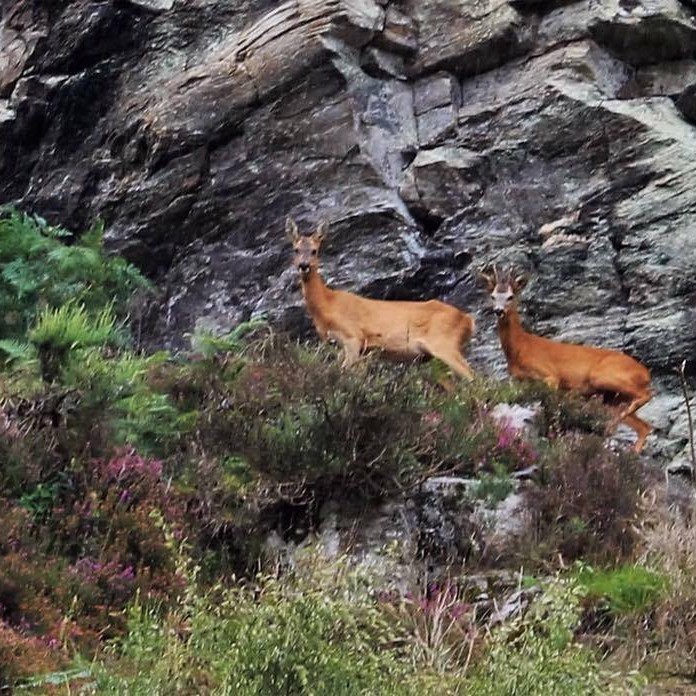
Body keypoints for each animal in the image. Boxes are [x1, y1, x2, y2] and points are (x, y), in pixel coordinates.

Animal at [286, 217, 475, 379]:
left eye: (314, 251)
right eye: (296, 250)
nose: (303, 265)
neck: (327, 304)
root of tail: (468, 320)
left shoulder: (353, 337)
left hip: (444, 342)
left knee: (473, 377)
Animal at [478, 265, 653, 453]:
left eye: (510, 296)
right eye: (493, 296)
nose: (498, 311)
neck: (520, 347)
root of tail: (645, 374)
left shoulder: (550, 375)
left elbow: (551, 407)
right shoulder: (519, 381)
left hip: (604, 376)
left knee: (646, 395)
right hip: (613, 398)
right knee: (644, 426)